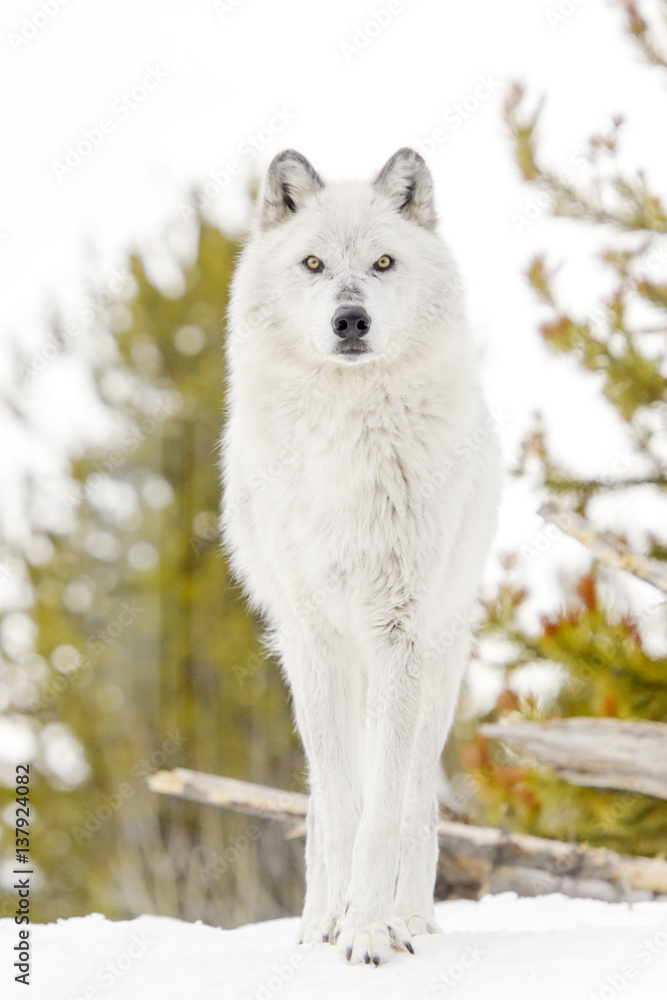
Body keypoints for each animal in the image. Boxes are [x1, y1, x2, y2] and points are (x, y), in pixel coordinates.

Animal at [220, 147, 499, 965]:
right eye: (313, 263)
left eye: (382, 263)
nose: (351, 319)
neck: (346, 442)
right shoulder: (313, 637)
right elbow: (340, 806)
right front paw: (327, 928)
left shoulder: (396, 635)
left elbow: (383, 812)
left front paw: (372, 933)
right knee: (326, 795)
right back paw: (325, 914)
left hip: (436, 668)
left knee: (413, 802)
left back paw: (411, 920)